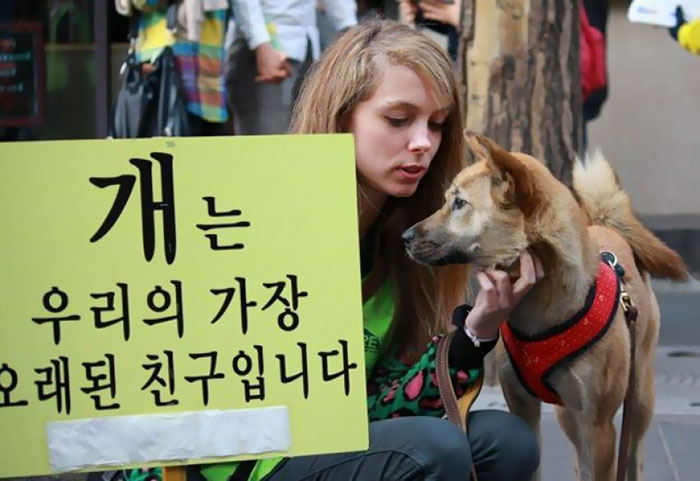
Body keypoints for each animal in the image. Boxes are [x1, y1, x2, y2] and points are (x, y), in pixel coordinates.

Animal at [404, 132, 684, 480]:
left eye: (459, 203)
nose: (404, 237)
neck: (540, 312)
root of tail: (606, 227)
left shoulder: (599, 426)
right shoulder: (523, 409)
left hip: (638, 400)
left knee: (633, 455)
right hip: (567, 414)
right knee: (580, 461)